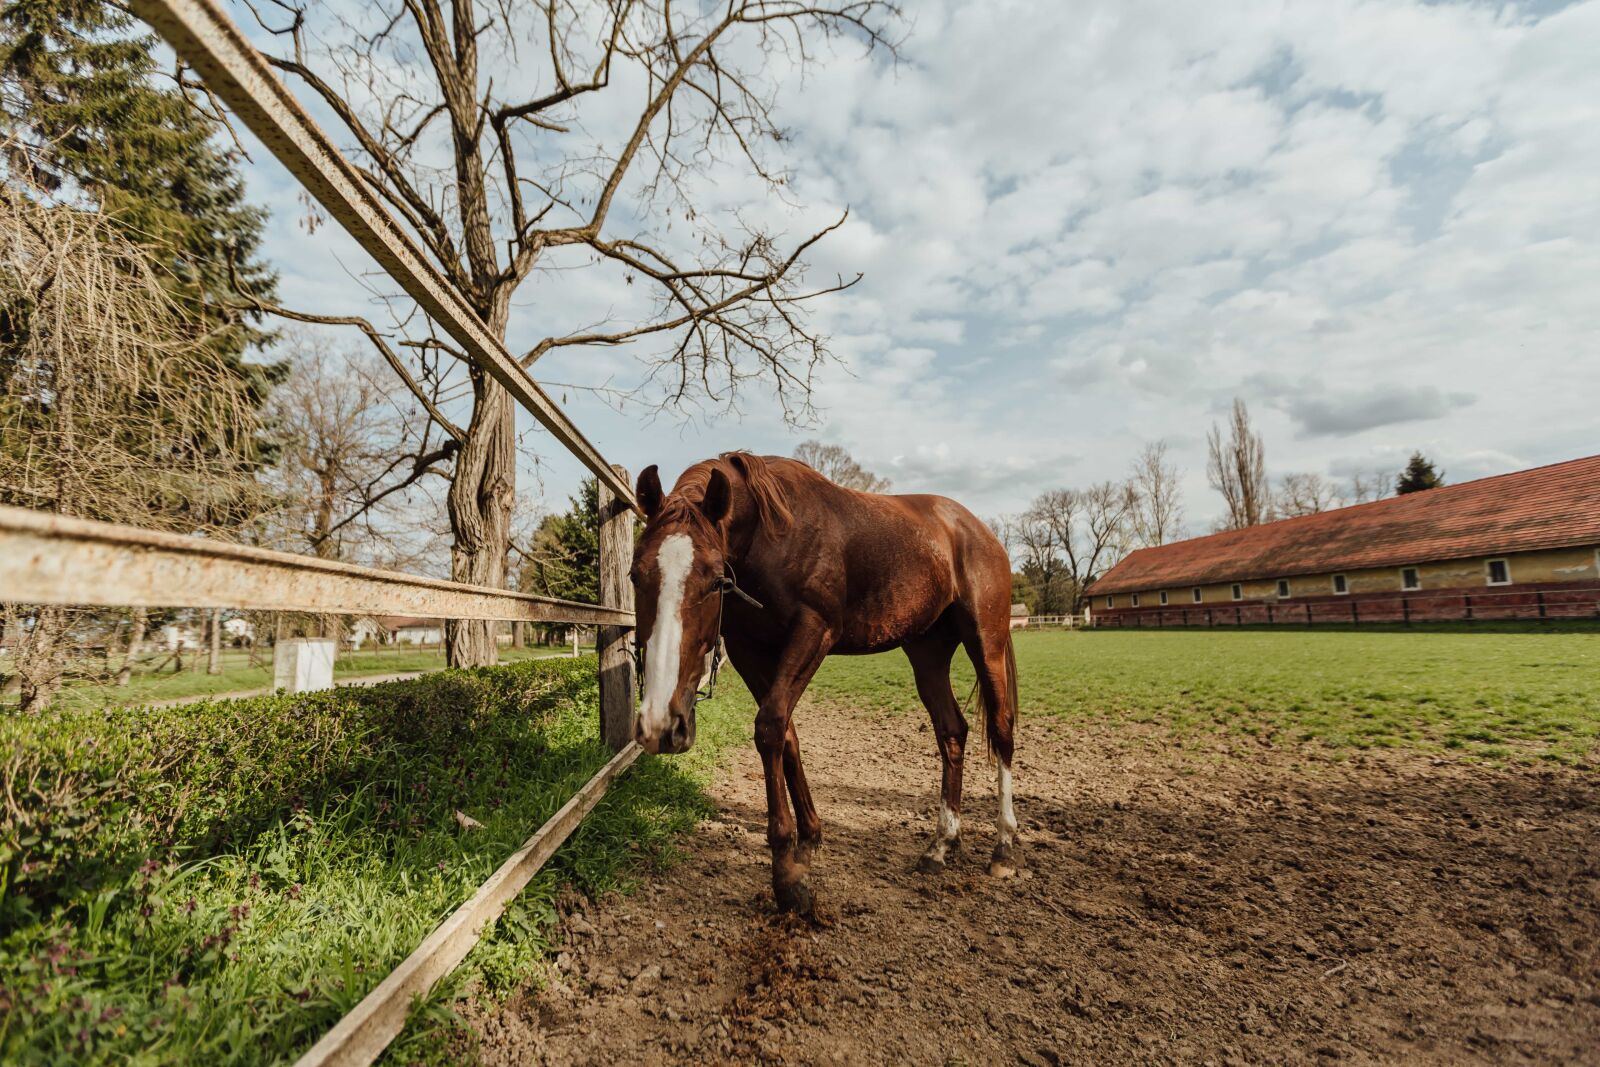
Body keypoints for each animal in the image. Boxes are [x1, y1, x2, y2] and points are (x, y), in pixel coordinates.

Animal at [628, 451, 1020, 914]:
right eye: (635, 575)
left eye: (713, 580)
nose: (660, 725)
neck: (770, 534)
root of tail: (978, 529)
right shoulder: (749, 651)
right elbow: (786, 736)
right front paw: (809, 838)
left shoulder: (814, 631)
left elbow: (770, 726)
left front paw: (787, 874)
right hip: (927, 654)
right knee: (951, 731)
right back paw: (942, 845)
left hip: (986, 643)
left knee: (1002, 729)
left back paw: (1003, 847)